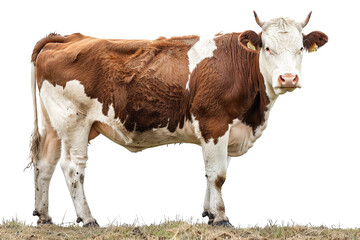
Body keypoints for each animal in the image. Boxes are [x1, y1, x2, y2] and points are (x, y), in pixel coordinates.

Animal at [29, 11, 328, 228]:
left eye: (300, 48)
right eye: (267, 47)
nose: (288, 78)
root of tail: (67, 37)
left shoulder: (227, 129)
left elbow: (212, 172)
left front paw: (209, 213)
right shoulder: (214, 122)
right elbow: (218, 175)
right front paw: (221, 218)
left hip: (52, 124)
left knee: (45, 162)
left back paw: (44, 217)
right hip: (75, 122)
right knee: (73, 168)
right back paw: (89, 219)